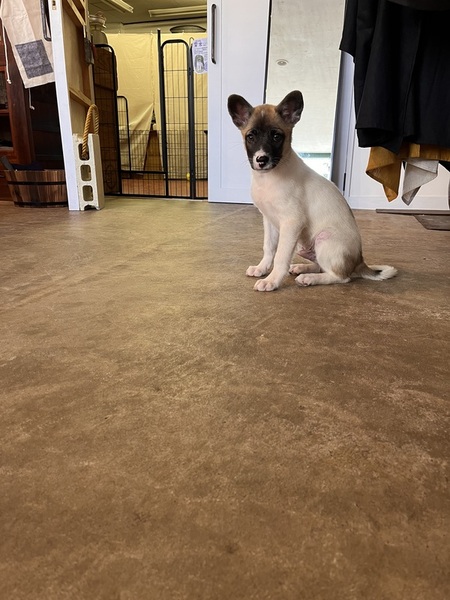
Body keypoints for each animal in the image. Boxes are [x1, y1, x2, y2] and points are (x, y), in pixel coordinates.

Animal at [227, 90, 397, 291]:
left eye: (276, 136)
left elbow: (281, 256)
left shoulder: (292, 222)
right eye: (251, 137)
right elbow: (269, 248)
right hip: (304, 246)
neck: (269, 177)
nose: (261, 159)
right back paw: (303, 268)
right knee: (320, 265)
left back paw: (309, 278)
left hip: (324, 239)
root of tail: (359, 262)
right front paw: (262, 268)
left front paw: (272, 280)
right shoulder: (269, 220)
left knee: (341, 277)